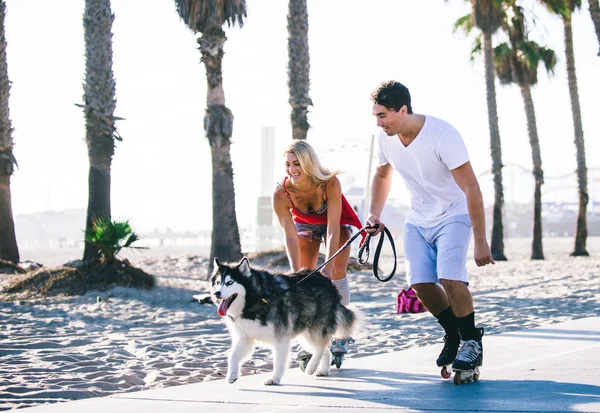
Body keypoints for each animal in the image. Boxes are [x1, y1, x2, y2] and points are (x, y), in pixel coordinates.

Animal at [212, 256, 360, 384]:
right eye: (218, 283)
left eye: (230, 282)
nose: (216, 293)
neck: (254, 298)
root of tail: (327, 281)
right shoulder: (244, 338)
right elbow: (232, 356)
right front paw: (232, 375)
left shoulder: (280, 337)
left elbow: (278, 362)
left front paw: (274, 379)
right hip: (305, 335)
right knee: (324, 349)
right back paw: (323, 370)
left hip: (315, 329)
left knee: (319, 347)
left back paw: (311, 367)